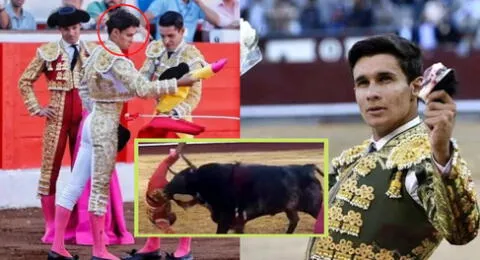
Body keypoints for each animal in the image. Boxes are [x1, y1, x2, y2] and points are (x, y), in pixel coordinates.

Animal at [163, 152, 324, 234]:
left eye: (181, 178)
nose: (163, 190)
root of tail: (307, 168)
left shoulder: (227, 219)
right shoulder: (237, 223)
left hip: (314, 206)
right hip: (290, 208)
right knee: (294, 220)